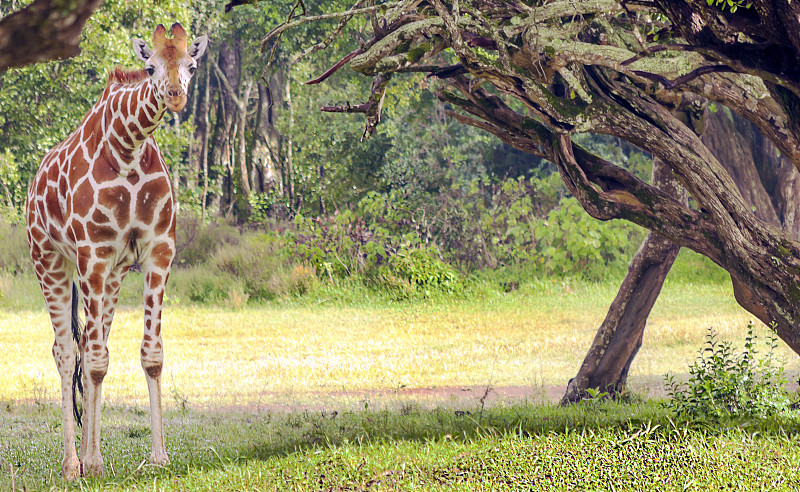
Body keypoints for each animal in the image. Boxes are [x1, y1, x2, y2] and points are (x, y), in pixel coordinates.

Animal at [25, 24, 208, 480]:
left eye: (192, 65)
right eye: (151, 66)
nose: (175, 95)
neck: (129, 146)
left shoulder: (158, 249)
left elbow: (149, 354)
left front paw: (158, 457)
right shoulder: (92, 251)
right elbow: (91, 360)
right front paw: (89, 461)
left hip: (111, 274)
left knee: (94, 343)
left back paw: (93, 457)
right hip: (50, 260)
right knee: (67, 352)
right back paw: (74, 464)